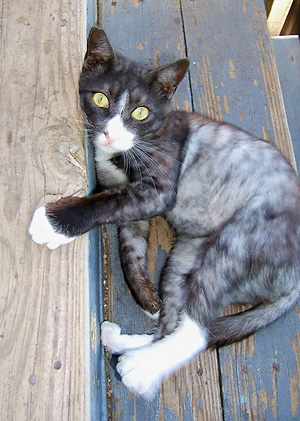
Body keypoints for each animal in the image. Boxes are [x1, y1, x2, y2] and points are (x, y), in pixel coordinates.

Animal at [29, 27, 300, 398]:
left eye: (141, 113)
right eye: (100, 99)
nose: (111, 134)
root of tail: (294, 280)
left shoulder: (159, 190)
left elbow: (104, 203)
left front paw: (53, 223)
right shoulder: (136, 208)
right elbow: (129, 249)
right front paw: (145, 297)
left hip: (239, 242)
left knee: (197, 329)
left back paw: (140, 368)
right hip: (186, 255)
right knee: (173, 319)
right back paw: (127, 342)